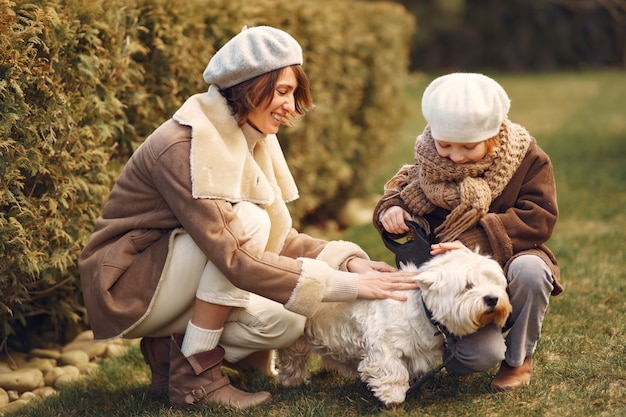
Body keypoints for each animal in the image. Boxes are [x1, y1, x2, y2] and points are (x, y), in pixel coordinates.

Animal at [278, 249, 512, 404]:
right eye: (467, 286)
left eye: (494, 282)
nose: (492, 299)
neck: (422, 308)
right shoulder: (380, 344)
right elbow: (391, 369)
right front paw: (393, 396)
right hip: (297, 339)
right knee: (293, 358)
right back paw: (292, 381)